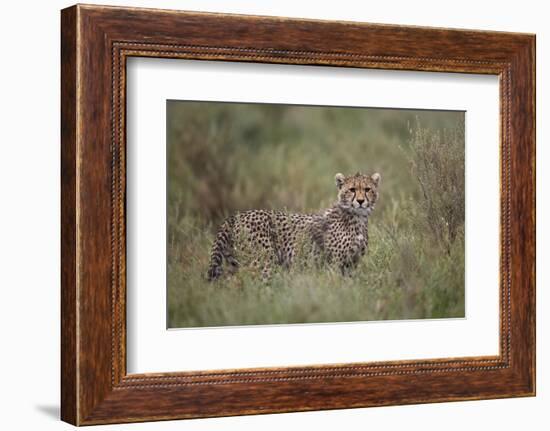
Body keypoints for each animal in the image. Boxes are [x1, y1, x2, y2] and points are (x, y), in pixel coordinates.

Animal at [205, 172, 382, 280]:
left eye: (367, 189)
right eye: (352, 189)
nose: (360, 201)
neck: (357, 218)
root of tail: (236, 215)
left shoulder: (351, 264)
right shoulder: (334, 263)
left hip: (235, 263)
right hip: (263, 262)